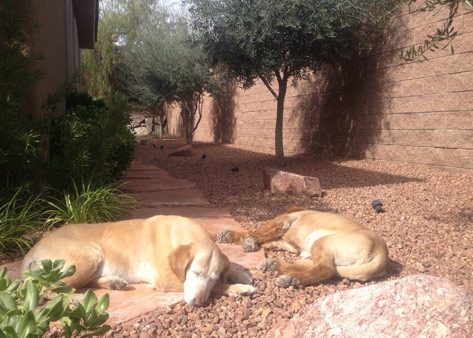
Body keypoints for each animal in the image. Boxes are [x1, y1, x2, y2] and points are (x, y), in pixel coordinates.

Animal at [21, 217, 256, 306]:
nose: (199, 303)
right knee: (44, 287)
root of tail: (32, 249)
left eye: (213, 276)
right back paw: (76, 299)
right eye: (196, 273)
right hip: (88, 256)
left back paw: (113, 282)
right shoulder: (165, 280)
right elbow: (220, 287)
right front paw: (239, 287)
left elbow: (226, 273)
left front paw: (241, 274)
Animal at [218, 206, 388, 288]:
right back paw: (275, 266)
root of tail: (382, 252)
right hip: (313, 254)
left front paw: (245, 239)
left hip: (321, 242)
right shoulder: (284, 242)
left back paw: (291, 279)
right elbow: (261, 237)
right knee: (313, 268)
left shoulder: (282, 220)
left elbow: (256, 232)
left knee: (326, 270)